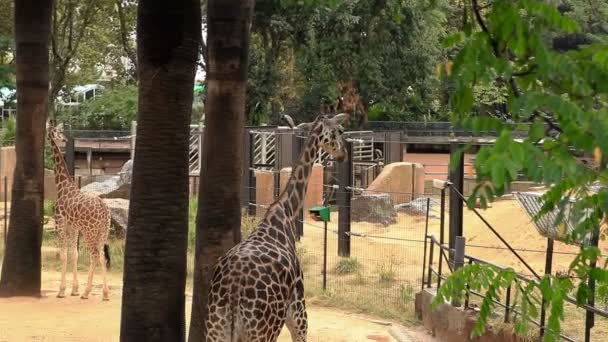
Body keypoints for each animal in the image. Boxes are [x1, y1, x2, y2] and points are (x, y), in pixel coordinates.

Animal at [46, 121, 111, 300]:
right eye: (57, 131)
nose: (64, 139)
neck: (62, 187)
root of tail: (104, 209)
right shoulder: (73, 227)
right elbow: (74, 254)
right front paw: (74, 289)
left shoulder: (60, 223)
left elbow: (63, 255)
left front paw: (62, 291)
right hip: (103, 231)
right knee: (102, 256)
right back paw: (104, 293)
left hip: (90, 231)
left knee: (94, 255)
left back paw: (87, 292)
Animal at [203, 113, 346, 342]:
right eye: (340, 131)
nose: (343, 154)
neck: (285, 212)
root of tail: (234, 290)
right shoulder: (299, 309)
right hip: (262, 331)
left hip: (217, 330)